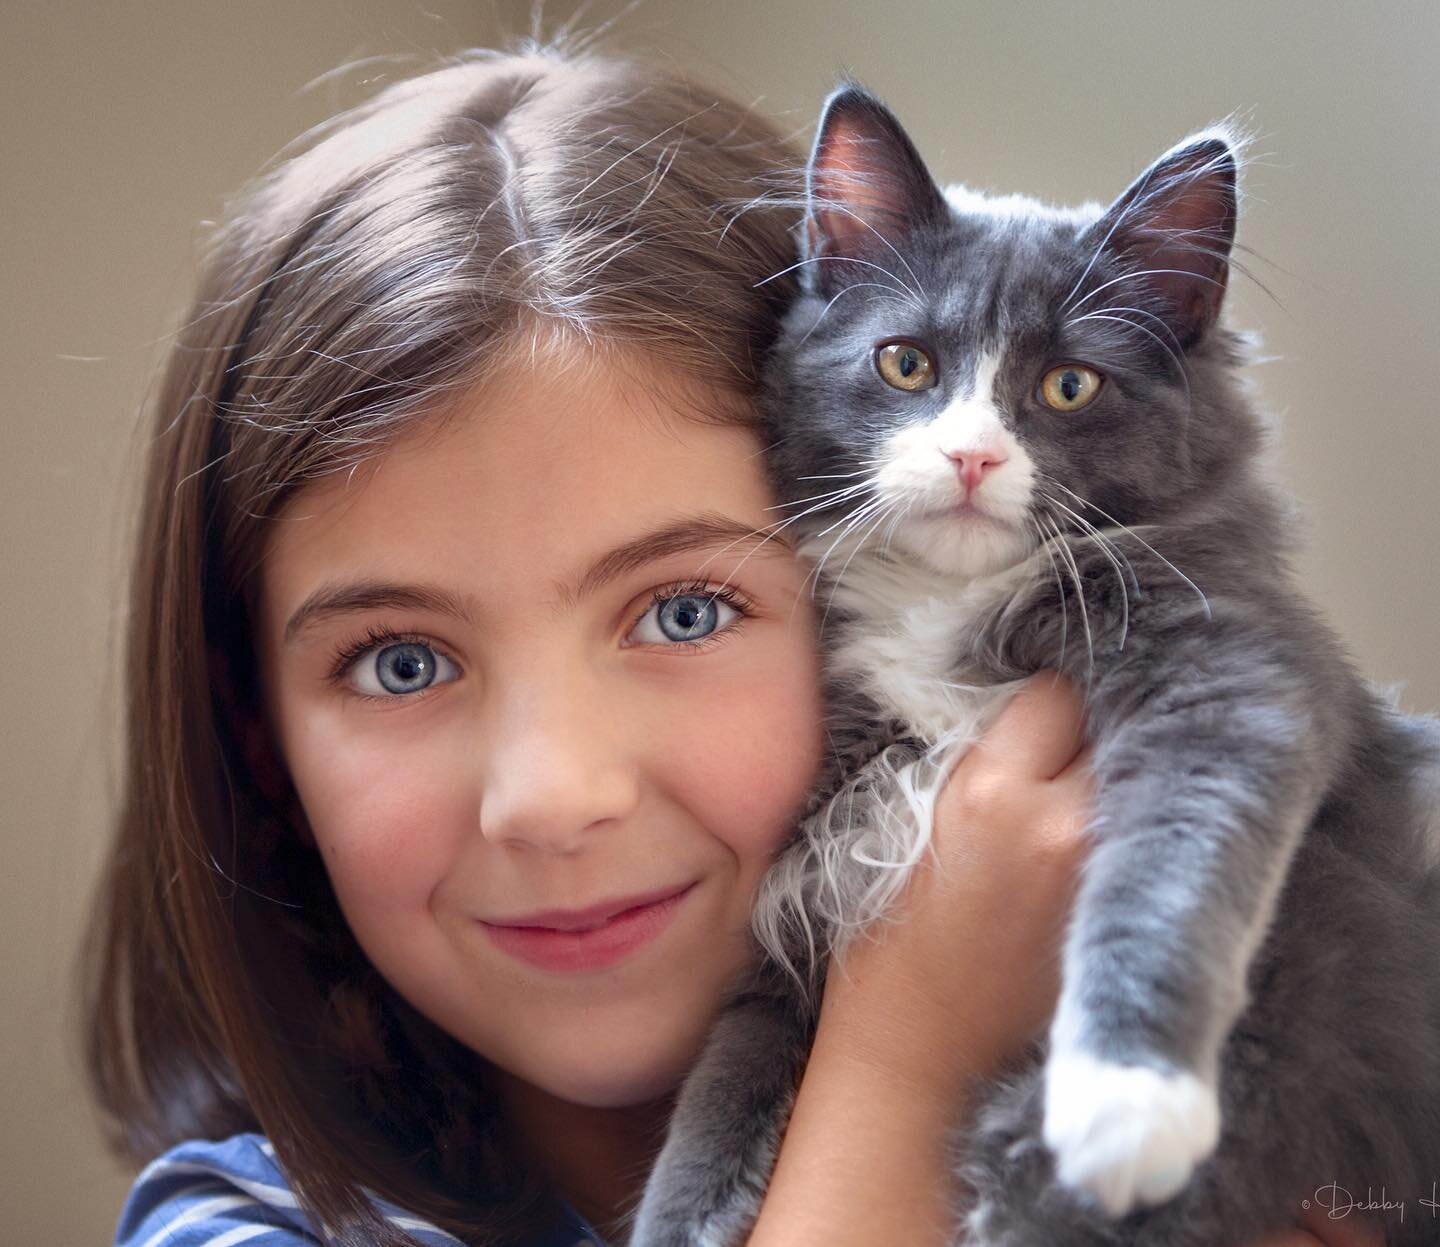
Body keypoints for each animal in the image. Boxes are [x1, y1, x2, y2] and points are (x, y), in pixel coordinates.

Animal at [630, 87, 1440, 1244]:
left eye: (1067, 385)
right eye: (907, 364)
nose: (972, 456)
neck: (949, 611)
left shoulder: (1237, 680)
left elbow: (1175, 865)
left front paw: (1128, 1102)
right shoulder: (818, 852)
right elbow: (738, 1044)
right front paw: (684, 1209)